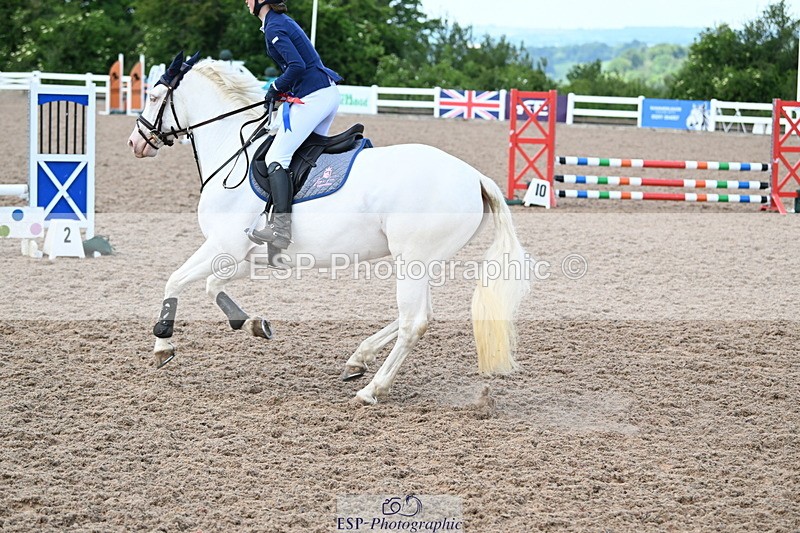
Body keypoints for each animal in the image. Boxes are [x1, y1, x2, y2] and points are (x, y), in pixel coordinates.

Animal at [127, 53, 530, 404]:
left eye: (153, 96)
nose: (136, 142)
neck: (234, 151)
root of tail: (474, 176)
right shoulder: (244, 255)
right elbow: (213, 285)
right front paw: (252, 322)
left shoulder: (222, 244)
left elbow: (174, 280)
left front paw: (163, 345)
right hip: (420, 262)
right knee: (416, 316)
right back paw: (358, 359)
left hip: (413, 260)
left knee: (414, 322)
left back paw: (372, 390)